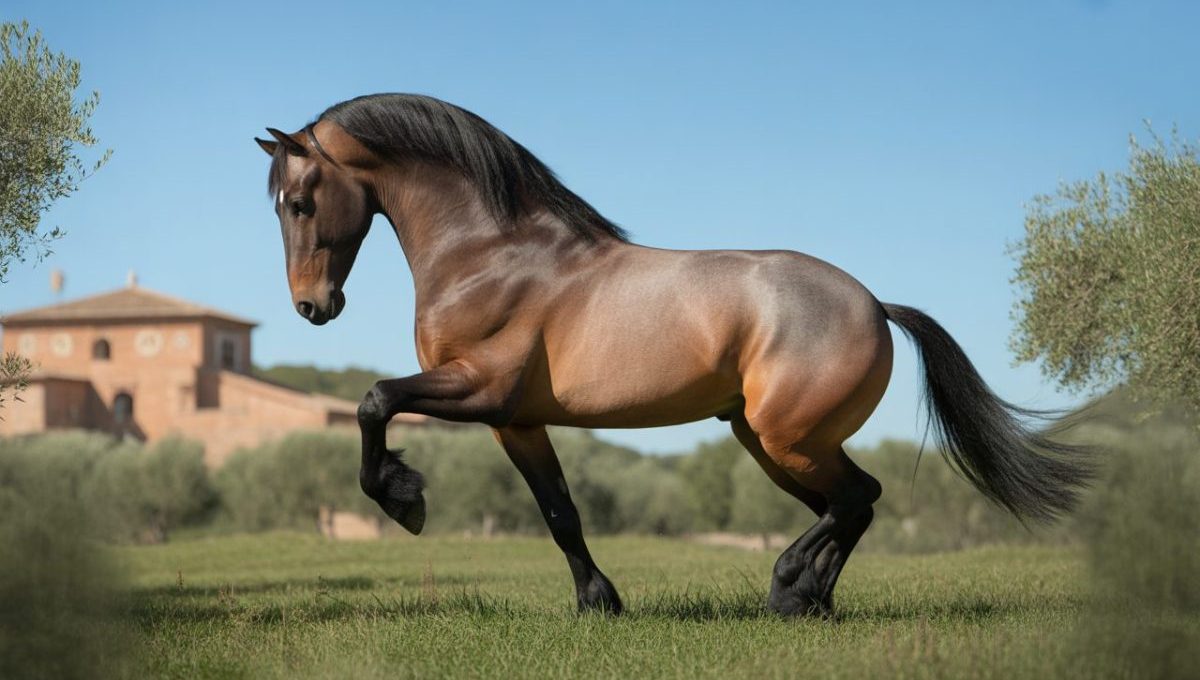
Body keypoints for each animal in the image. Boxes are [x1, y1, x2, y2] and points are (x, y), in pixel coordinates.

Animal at [254, 94, 1092, 617]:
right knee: (853, 506)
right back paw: (812, 603)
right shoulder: (515, 422)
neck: (492, 254)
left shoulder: (478, 389)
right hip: (766, 441)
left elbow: (373, 400)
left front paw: (406, 500)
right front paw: (599, 604)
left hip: (787, 437)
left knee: (856, 498)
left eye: (298, 201)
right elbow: (559, 512)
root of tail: (876, 305)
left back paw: (789, 590)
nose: (312, 307)